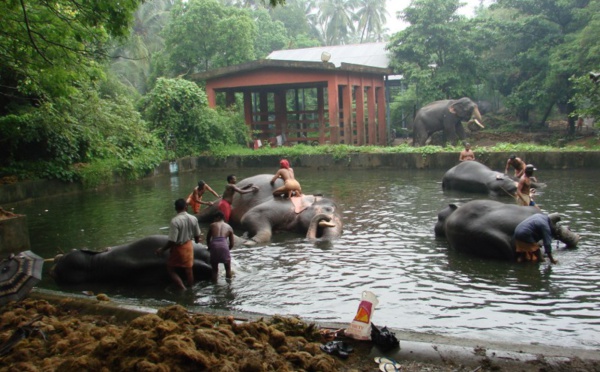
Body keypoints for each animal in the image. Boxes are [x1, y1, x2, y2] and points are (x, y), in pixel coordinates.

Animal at [195, 174, 340, 244]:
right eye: (328, 209)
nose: (327, 219)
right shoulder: (282, 205)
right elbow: (249, 216)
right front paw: (252, 240)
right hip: (220, 203)